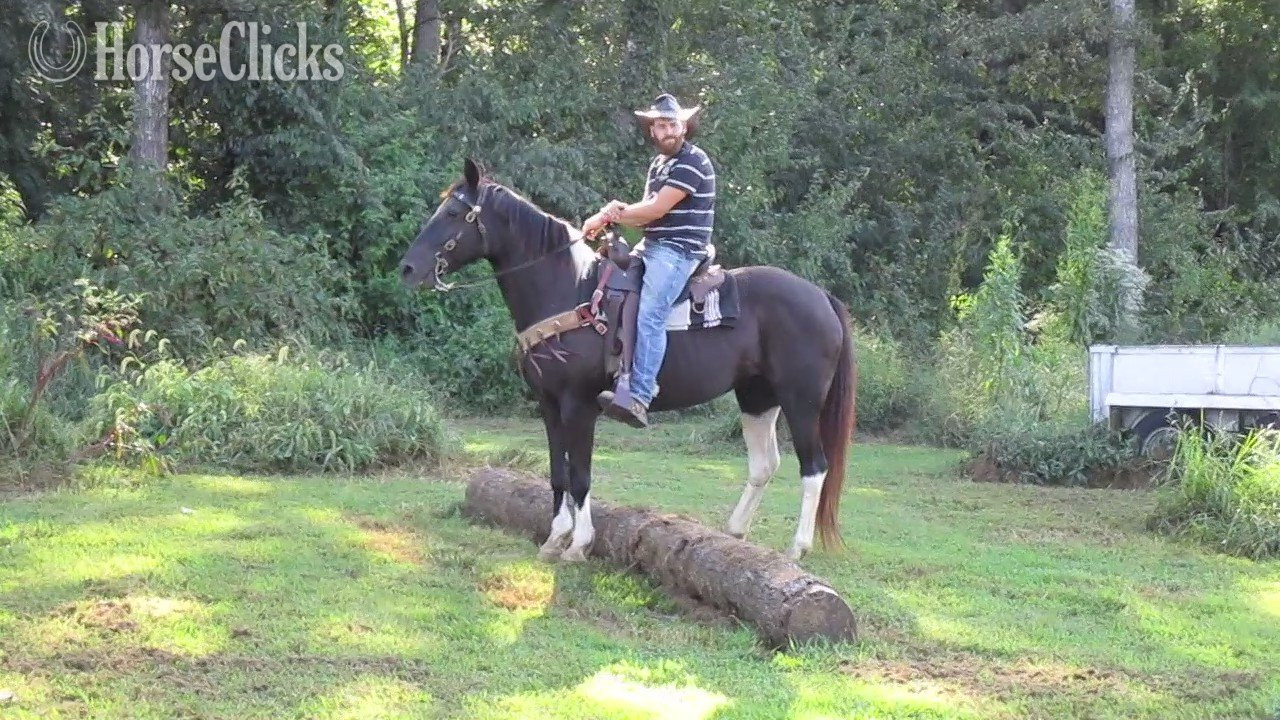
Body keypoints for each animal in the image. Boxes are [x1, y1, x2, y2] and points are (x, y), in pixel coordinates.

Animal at [399, 159, 857, 562]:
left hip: (800, 400)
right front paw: (554, 538)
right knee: (764, 464)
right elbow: (557, 472)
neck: (570, 291)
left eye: (454, 212)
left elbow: (581, 475)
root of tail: (822, 296)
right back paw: (734, 532)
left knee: (814, 467)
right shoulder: (548, 404)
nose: (407, 269)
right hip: (757, 398)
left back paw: (797, 548)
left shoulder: (579, 404)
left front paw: (578, 545)